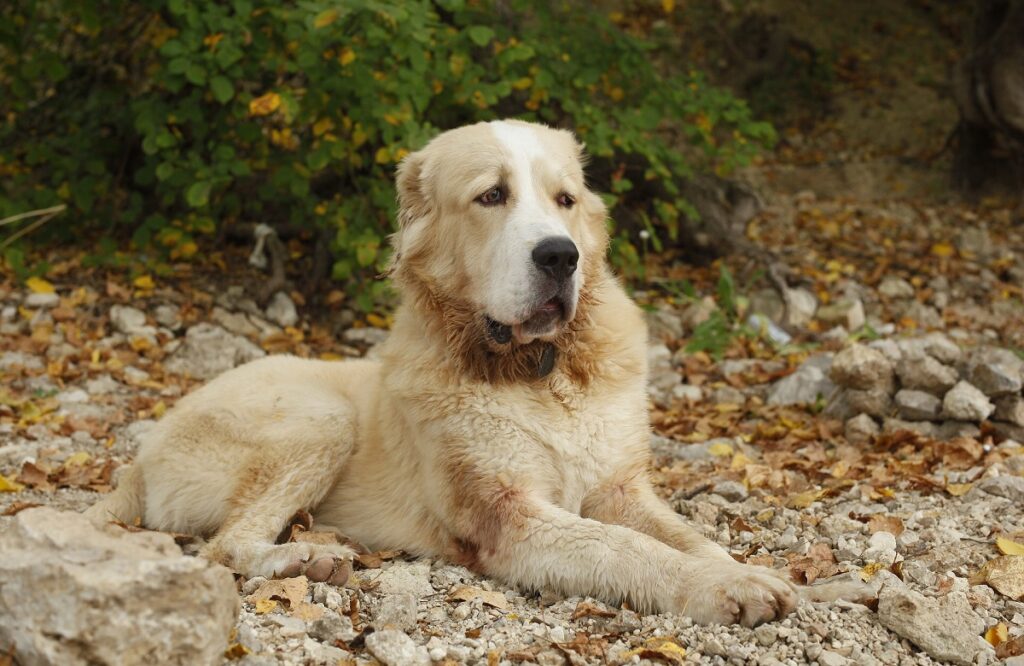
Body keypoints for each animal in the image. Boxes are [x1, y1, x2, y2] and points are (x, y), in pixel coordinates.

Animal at [83, 119, 794, 622]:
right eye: (492, 196)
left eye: (564, 199)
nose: (560, 256)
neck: (540, 372)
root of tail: (140, 459)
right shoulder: (509, 517)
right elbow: (627, 548)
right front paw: (723, 587)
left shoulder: (622, 491)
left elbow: (685, 536)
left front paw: (746, 572)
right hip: (321, 418)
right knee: (225, 546)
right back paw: (305, 559)